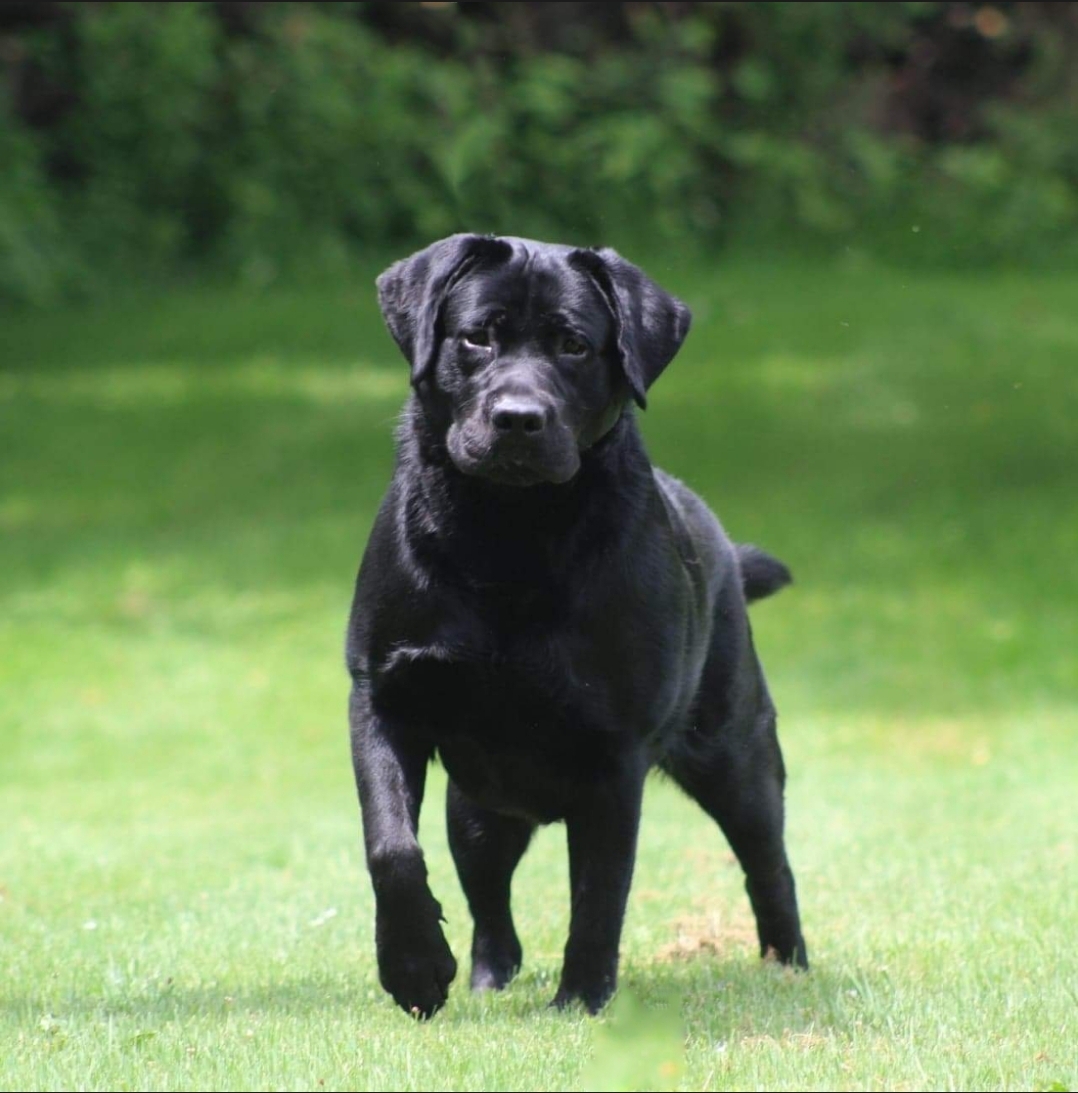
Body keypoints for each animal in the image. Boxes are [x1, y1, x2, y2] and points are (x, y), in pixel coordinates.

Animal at [347, 232, 804, 1014]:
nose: (517, 418)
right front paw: (413, 965)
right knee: (489, 901)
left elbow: (599, 893)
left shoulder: (613, 755)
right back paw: (487, 978)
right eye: (477, 336)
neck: (507, 535)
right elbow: (392, 845)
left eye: (574, 346)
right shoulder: (382, 693)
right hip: (477, 809)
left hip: (736, 756)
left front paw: (583, 999)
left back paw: (788, 962)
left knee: (768, 861)